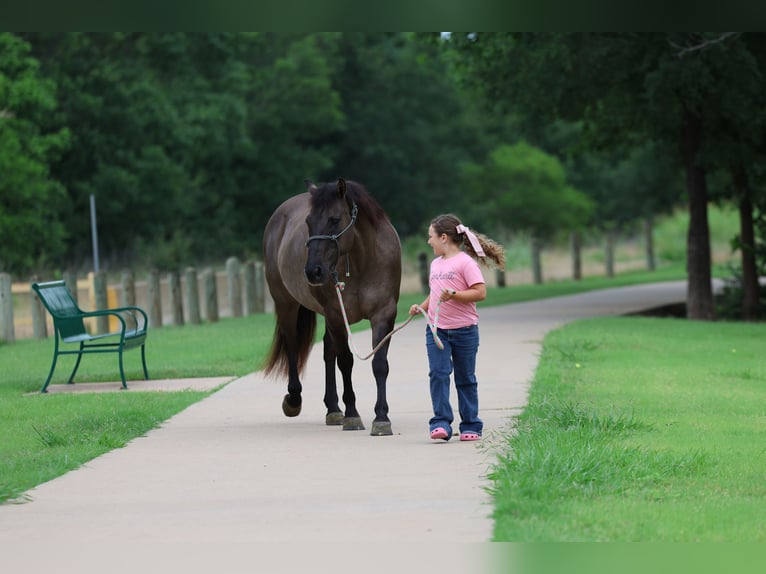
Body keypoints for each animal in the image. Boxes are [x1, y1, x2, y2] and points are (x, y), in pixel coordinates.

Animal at [262, 178, 402, 436]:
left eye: (334, 219)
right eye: (308, 222)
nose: (313, 271)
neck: (361, 260)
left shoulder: (384, 315)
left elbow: (379, 364)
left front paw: (381, 418)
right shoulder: (337, 314)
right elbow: (345, 362)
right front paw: (352, 415)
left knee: (328, 350)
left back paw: (333, 409)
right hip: (287, 304)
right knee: (292, 345)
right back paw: (294, 400)